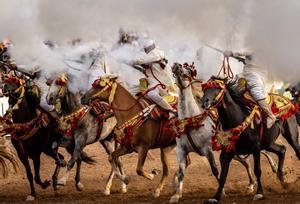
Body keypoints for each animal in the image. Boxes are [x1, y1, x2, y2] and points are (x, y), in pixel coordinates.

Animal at [1, 73, 66, 201]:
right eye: (5, 79)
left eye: (15, 80)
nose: (4, 86)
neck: (24, 125)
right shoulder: (22, 155)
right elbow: (30, 175)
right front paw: (32, 193)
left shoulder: (36, 154)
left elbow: (36, 176)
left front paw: (45, 184)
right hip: (47, 149)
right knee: (61, 159)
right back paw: (55, 183)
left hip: (50, 148)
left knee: (63, 159)